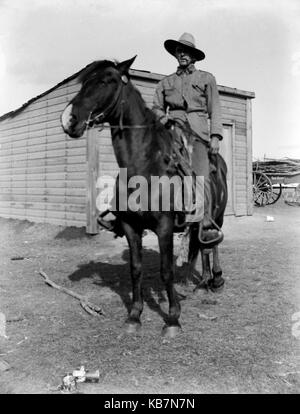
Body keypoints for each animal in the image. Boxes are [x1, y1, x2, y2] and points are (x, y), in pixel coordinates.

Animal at [61, 57, 226, 336]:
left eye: (106, 81)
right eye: (84, 82)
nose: (68, 119)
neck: (145, 166)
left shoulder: (164, 226)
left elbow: (166, 270)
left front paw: (172, 319)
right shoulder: (131, 226)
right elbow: (136, 270)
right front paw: (134, 316)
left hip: (219, 215)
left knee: (212, 244)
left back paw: (215, 279)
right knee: (199, 244)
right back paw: (201, 282)